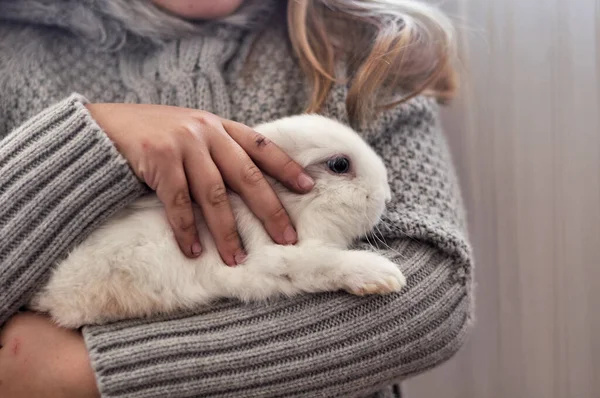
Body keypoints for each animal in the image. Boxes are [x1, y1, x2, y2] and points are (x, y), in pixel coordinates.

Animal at [28, 114, 406, 326]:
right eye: (340, 165)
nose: (386, 197)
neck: (291, 207)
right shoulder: (276, 259)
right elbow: (326, 262)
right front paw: (386, 277)